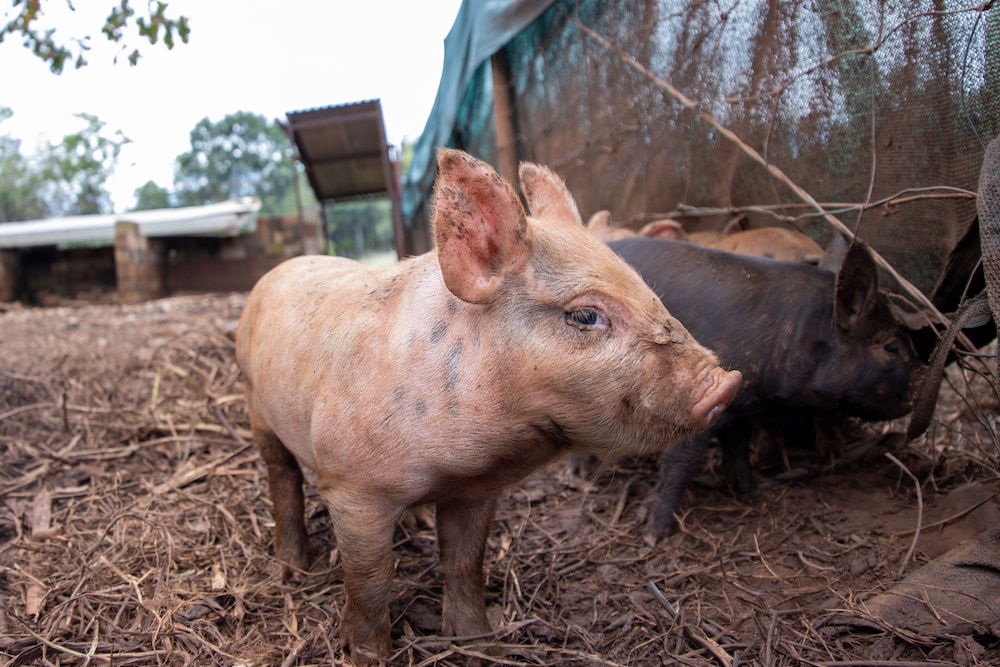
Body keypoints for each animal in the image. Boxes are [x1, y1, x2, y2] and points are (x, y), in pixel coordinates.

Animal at [232, 149, 736, 664]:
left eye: (646, 288)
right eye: (585, 315)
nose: (726, 384)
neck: (467, 460)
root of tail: (278, 270)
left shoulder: (476, 491)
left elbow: (463, 563)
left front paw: (480, 641)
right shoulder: (353, 490)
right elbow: (371, 581)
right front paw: (367, 654)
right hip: (255, 402)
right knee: (282, 476)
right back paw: (292, 568)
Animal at [612, 237, 924, 540]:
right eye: (891, 347)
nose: (915, 398)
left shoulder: (741, 407)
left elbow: (737, 446)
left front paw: (751, 491)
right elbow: (681, 461)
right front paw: (653, 535)